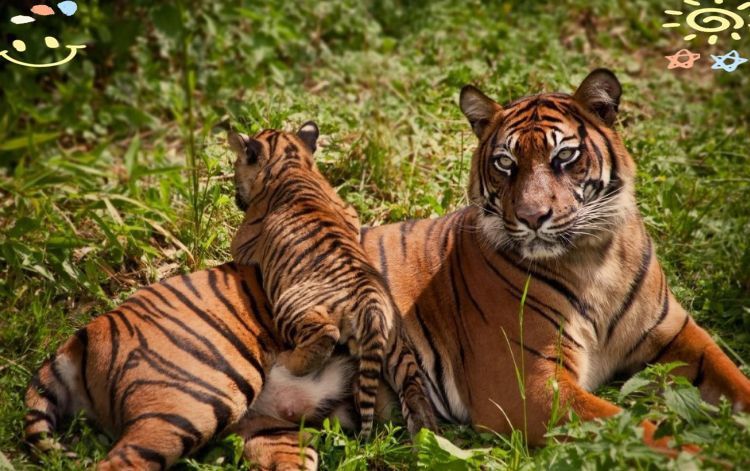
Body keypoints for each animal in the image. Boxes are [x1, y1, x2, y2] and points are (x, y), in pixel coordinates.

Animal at [228, 122, 436, 438]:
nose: (235, 196)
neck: (291, 162)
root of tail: (372, 305)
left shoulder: (243, 243)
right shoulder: (349, 211)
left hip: (291, 305)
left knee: (325, 337)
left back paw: (287, 362)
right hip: (396, 347)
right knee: (413, 387)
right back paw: (425, 435)